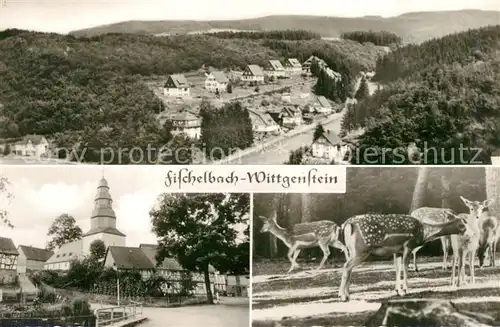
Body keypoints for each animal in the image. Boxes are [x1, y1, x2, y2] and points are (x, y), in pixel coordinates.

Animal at [338, 214, 466, 304]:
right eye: (462, 223)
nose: (466, 230)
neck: (424, 233)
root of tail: (347, 224)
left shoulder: (398, 251)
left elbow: (397, 268)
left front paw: (398, 291)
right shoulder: (408, 246)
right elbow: (405, 267)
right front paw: (406, 290)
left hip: (352, 250)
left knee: (349, 268)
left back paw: (347, 295)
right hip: (361, 250)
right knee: (346, 266)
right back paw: (342, 296)